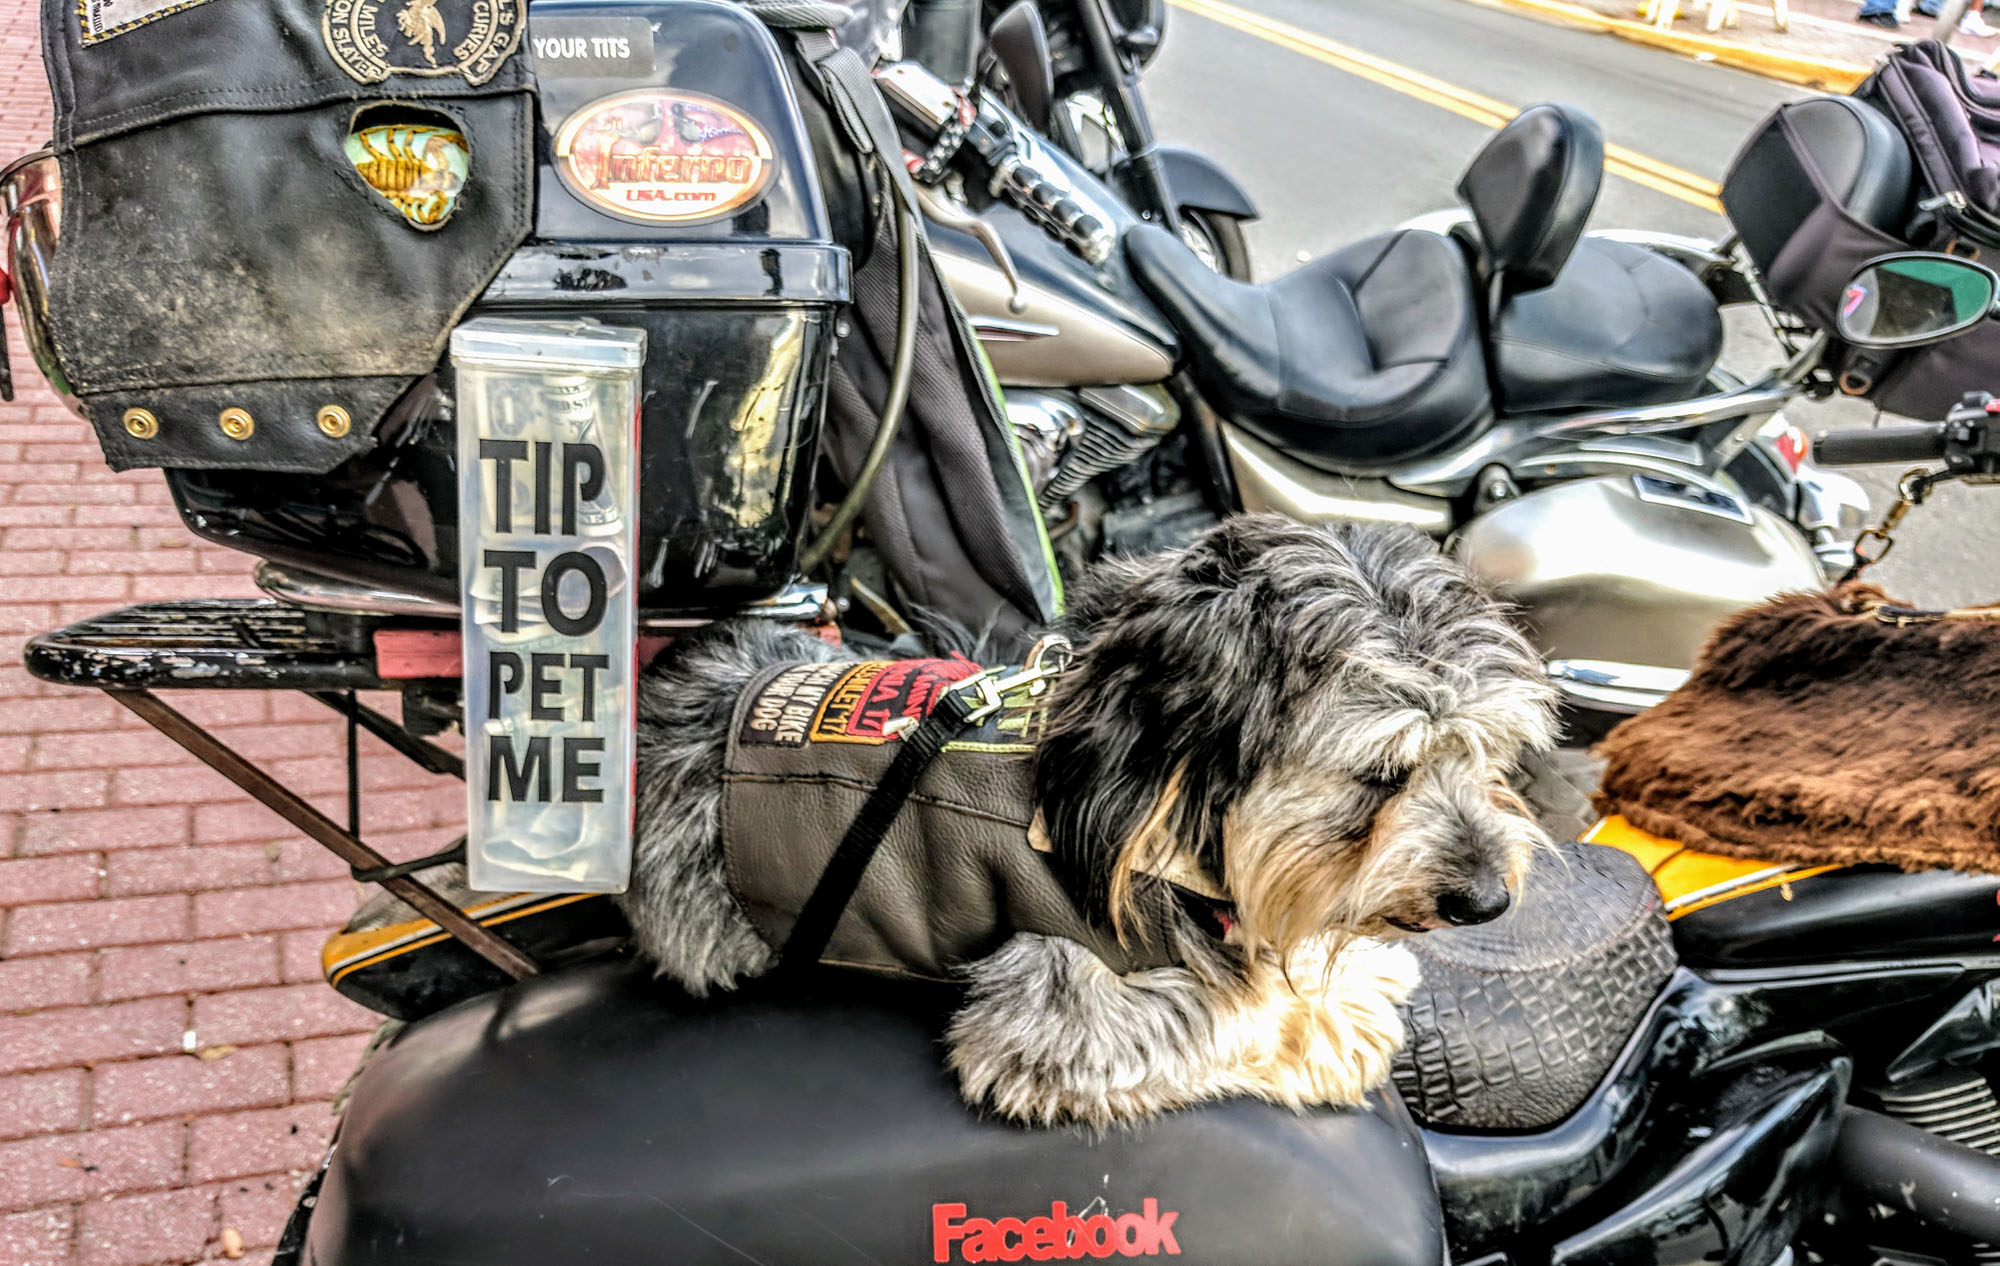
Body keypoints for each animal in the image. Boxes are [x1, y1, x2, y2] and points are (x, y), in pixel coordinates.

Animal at [616, 512, 1552, 1128]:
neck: (1146, 796)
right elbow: (1224, 1011)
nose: (1488, 901)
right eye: (1379, 774)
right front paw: (1339, 1023)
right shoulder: (1057, 1011)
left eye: (1484, 752)